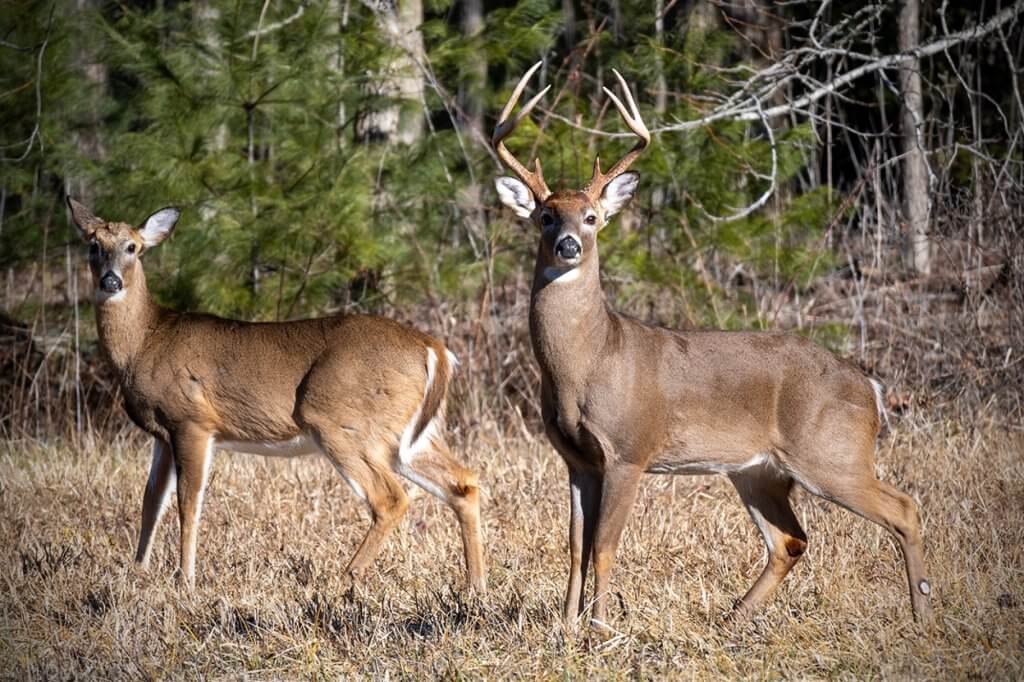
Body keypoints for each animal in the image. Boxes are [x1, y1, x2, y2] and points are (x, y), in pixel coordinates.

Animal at [66, 197, 486, 593]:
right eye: (93, 245)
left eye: (133, 247)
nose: (111, 282)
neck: (145, 341)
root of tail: (435, 350)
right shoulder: (162, 435)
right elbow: (151, 500)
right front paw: (137, 571)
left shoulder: (192, 420)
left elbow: (189, 501)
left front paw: (185, 579)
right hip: (409, 436)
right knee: (463, 484)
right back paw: (474, 585)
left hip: (340, 421)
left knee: (390, 498)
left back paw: (344, 578)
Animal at [491, 63, 932, 633]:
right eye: (545, 216)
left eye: (591, 217)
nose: (569, 244)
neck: (587, 363)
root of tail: (871, 387)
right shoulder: (575, 458)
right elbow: (574, 548)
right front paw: (566, 628)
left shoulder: (629, 449)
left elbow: (605, 546)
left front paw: (600, 629)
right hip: (759, 471)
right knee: (791, 540)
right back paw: (732, 617)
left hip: (832, 453)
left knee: (904, 509)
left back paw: (922, 614)